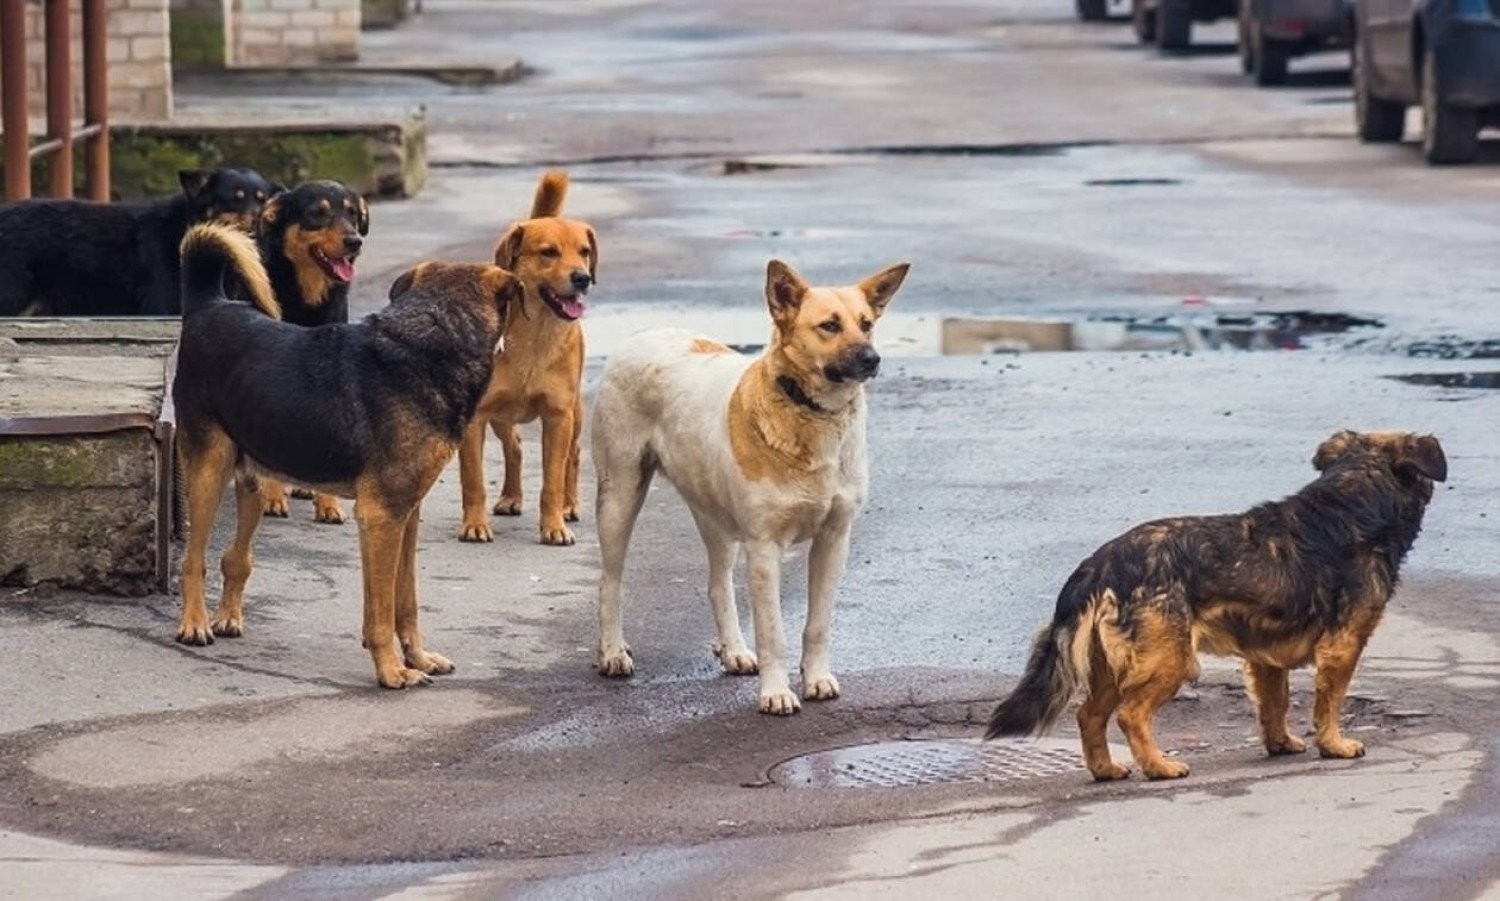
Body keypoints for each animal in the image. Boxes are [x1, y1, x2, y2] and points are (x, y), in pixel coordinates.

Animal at [171, 223, 516, 689]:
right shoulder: (381, 518)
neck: (433, 337)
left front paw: (419, 658)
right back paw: (194, 623)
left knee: (234, 557)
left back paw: (227, 617)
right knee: (193, 559)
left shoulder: (406, 516)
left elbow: (405, 602)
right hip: (209, 470)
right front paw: (391, 670)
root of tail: (209, 305)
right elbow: (381, 613)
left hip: (253, 481)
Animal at [456, 171, 597, 545]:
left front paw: (554, 525)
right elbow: (473, 480)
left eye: (584, 252)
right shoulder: (476, 418)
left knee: (573, 456)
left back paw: (569, 504)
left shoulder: (558, 416)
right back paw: (511, 496)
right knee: (515, 446)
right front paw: (474, 524)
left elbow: (552, 480)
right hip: (500, 416)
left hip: (575, 413)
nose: (583, 278)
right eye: (548, 253)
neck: (535, 335)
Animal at [591, 256, 906, 713]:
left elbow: (818, 624)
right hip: (619, 497)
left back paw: (734, 650)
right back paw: (613, 652)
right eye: (829, 325)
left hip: (715, 516)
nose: (872, 358)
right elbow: (773, 632)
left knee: (717, 584)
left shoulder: (834, 540)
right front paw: (776, 692)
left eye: (866, 324)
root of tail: (643, 334)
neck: (810, 413)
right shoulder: (764, 548)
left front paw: (817, 678)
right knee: (610, 582)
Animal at [990, 431, 1446, 773]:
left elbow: (1274, 704)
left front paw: (1280, 743)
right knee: (1130, 714)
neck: (1353, 501)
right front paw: (1334, 745)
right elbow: (1329, 703)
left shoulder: (1266, 658)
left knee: (1089, 716)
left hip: (1109, 666)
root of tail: (1100, 563)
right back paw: (1159, 767)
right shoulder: (1343, 646)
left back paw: (1106, 770)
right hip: (1170, 660)